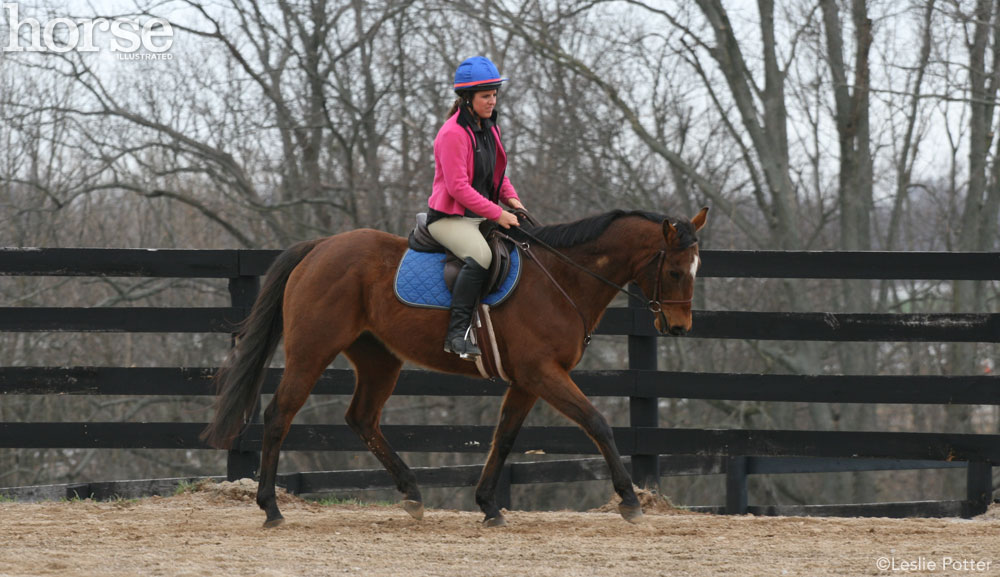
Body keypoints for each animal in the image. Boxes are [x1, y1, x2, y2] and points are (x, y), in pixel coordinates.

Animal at [203, 206, 708, 528]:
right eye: (676, 271)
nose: (680, 327)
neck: (561, 278)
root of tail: (320, 247)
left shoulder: (527, 380)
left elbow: (505, 438)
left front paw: (488, 506)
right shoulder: (544, 373)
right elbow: (597, 423)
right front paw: (629, 501)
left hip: (379, 357)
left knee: (362, 418)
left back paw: (411, 494)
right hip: (312, 350)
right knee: (279, 415)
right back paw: (270, 509)